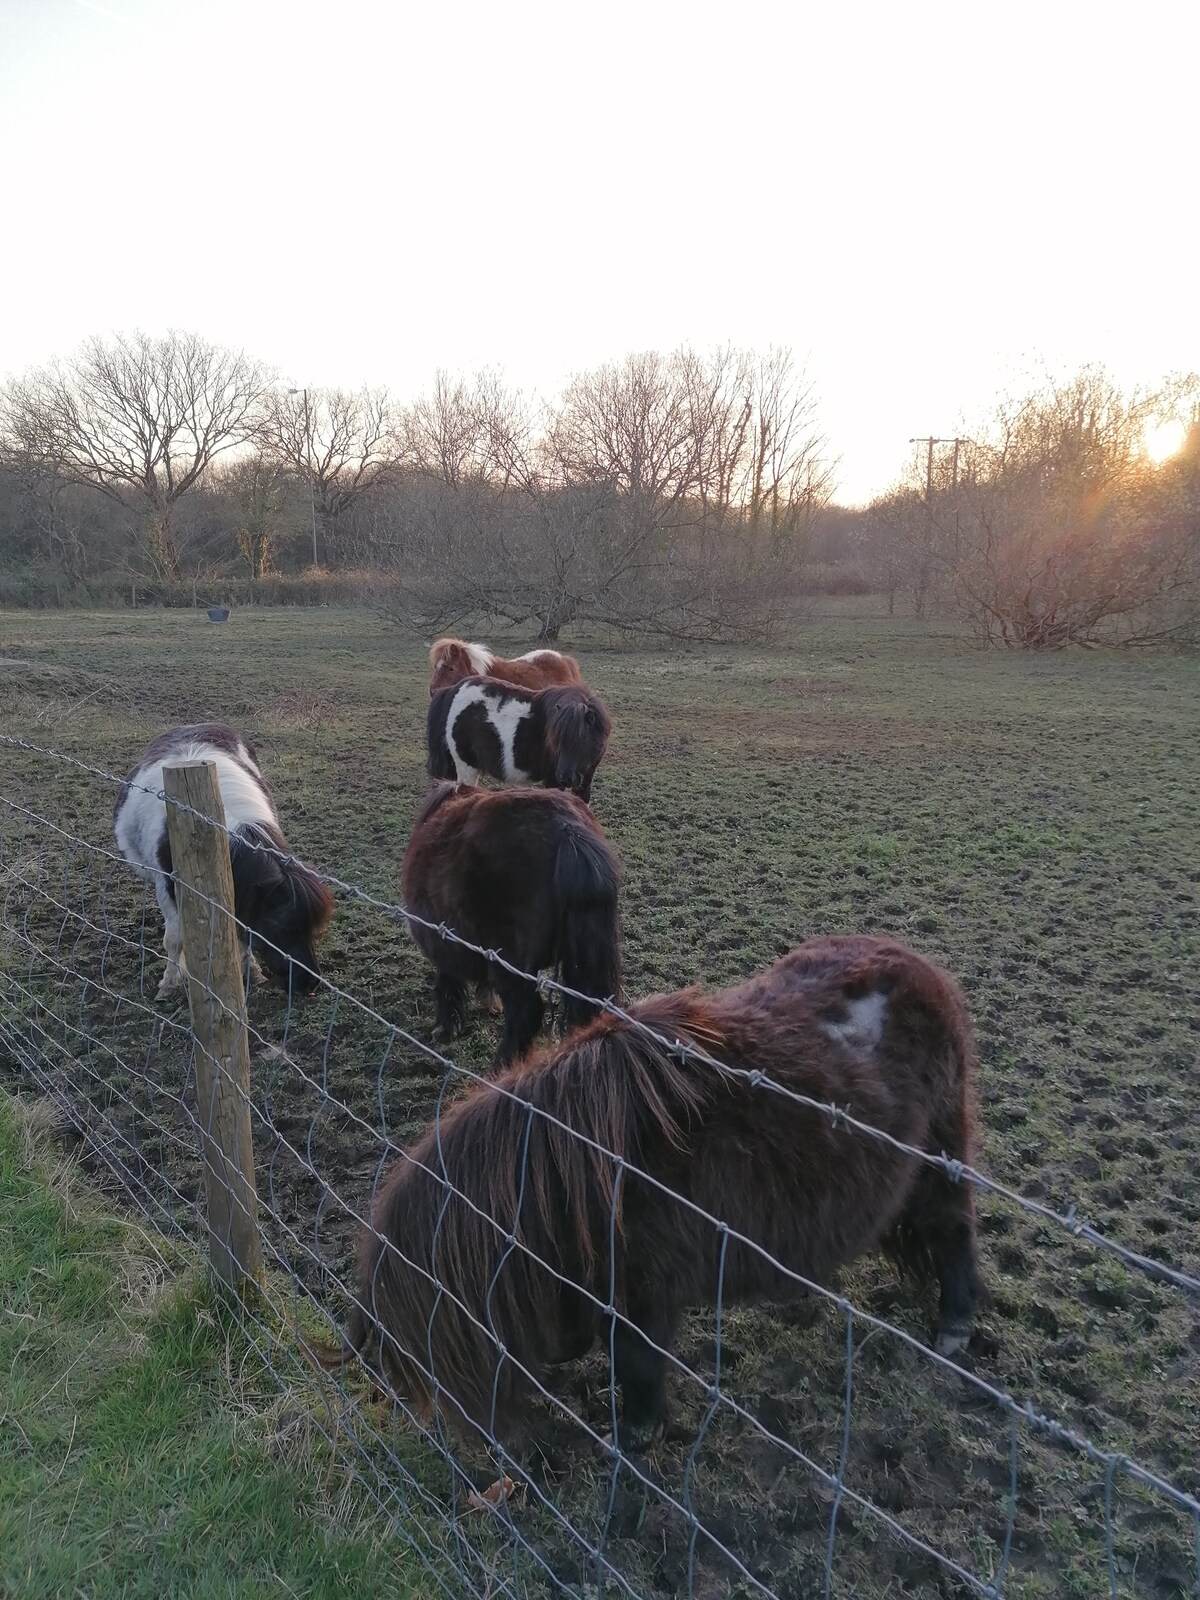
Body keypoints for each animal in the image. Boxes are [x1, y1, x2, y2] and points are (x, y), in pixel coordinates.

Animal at [113, 726, 334, 998]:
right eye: (279, 925)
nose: (309, 983)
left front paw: (252, 971)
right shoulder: (167, 887)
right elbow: (174, 939)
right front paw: (169, 983)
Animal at [324, 934, 979, 1452]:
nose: (505, 1453)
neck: (573, 1167)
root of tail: (919, 966)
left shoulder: (645, 1294)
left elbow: (635, 1364)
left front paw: (636, 1434)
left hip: (939, 1159)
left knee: (951, 1230)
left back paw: (955, 1328)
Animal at [406, 784, 630, 1068]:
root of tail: (567, 829)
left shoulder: (446, 939)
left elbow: (447, 979)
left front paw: (446, 1026)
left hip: (512, 963)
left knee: (526, 1012)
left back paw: (504, 1065)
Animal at [428, 675, 611, 806]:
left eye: (583, 740)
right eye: (556, 740)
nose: (565, 777)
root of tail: (452, 691)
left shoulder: (586, 779)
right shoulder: (553, 781)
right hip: (466, 767)